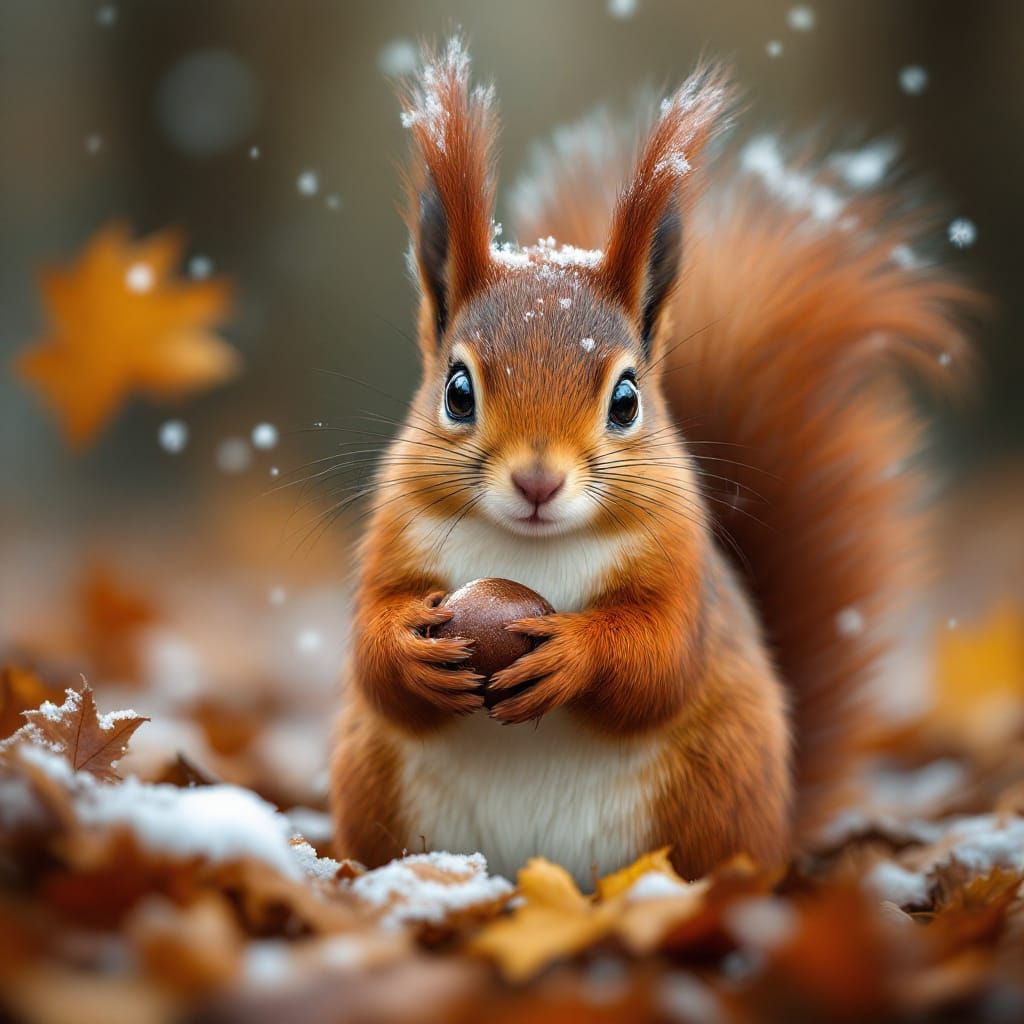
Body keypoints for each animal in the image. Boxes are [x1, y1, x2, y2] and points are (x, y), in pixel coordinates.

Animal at [330, 39, 975, 885]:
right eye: (458, 392)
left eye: (627, 399)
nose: (538, 481)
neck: (530, 547)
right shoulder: (391, 536)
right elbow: (371, 646)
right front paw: (408, 650)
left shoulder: (683, 565)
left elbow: (660, 657)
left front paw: (574, 655)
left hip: (713, 790)